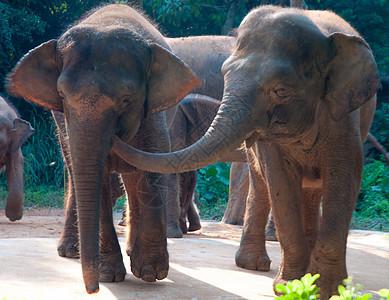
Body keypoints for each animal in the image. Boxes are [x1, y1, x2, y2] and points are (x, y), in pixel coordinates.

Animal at [7, 3, 199, 294]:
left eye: (126, 100)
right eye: (61, 96)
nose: (92, 289)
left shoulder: (153, 114)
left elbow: (152, 168)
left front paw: (150, 273)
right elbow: (97, 181)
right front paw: (109, 275)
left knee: (132, 177)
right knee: (76, 174)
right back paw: (71, 252)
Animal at [110, 5, 378, 298]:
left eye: (281, 90)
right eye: (225, 74)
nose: (115, 130)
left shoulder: (344, 118)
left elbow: (344, 180)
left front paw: (325, 289)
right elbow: (280, 183)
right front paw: (292, 285)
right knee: (264, 185)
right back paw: (255, 265)